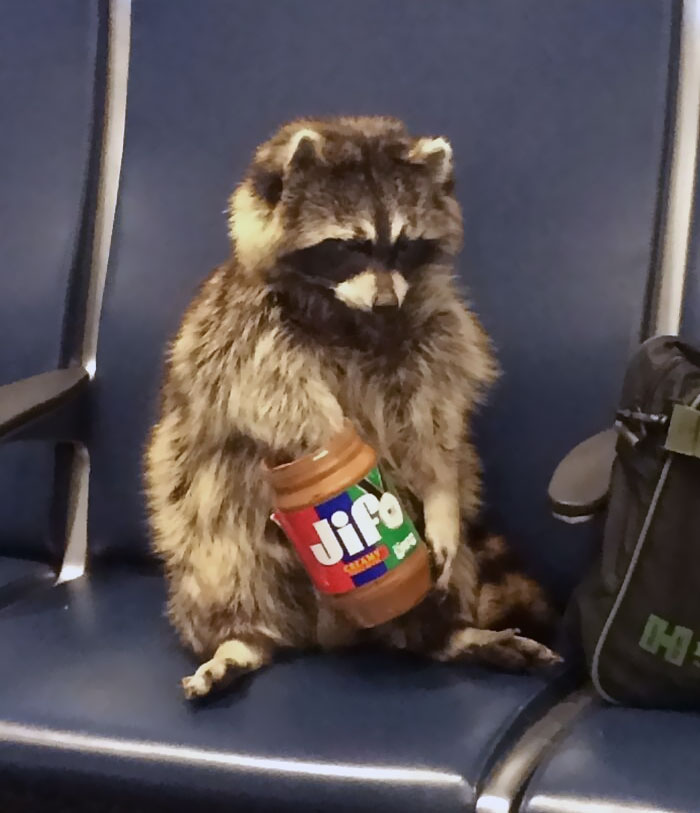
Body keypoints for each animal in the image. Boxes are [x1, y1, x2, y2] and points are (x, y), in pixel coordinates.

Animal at [145, 116, 559, 699]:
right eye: (350, 247)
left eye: (405, 246)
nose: (386, 301)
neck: (348, 313)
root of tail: (327, 635)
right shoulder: (245, 332)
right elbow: (282, 408)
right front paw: (339, 459)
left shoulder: (435, 328)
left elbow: (434, 423)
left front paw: (437, 491)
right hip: (211, 533)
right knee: (223, 562)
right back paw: (241, 638)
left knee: (446, 582)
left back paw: (446, 635)